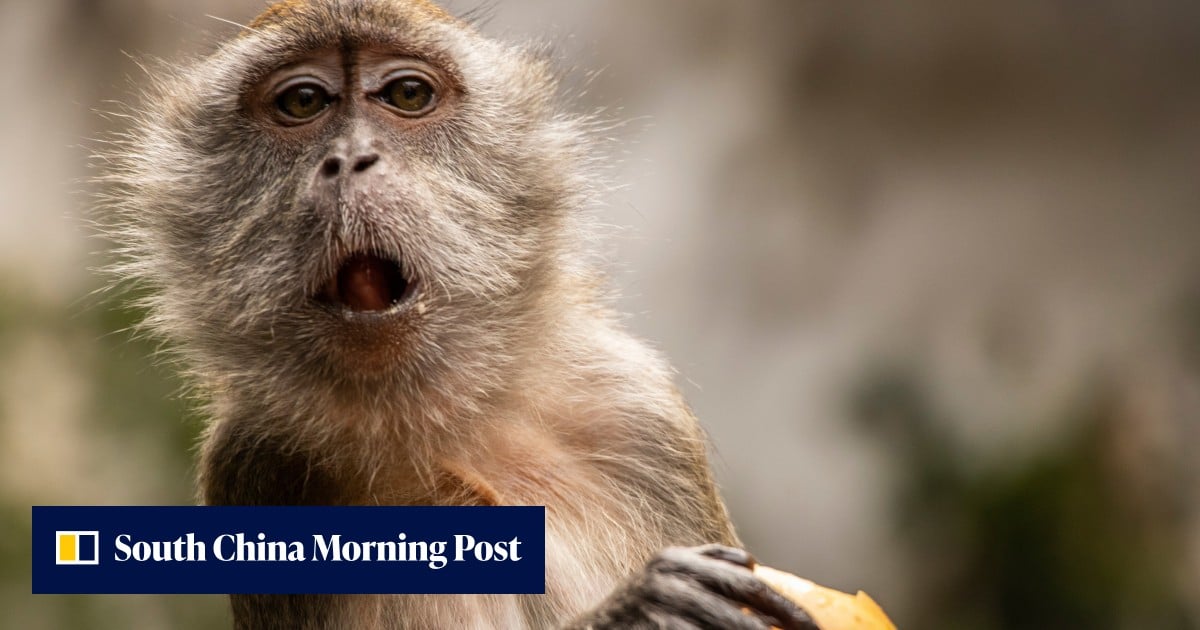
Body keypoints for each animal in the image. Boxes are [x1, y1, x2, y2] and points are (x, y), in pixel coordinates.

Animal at [100, 1, 819, 628]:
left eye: (407, 94)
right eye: (302, 103)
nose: (348, 160)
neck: (438, 425)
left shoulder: (635, 410)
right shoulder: (255, 465)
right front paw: (638, 611)